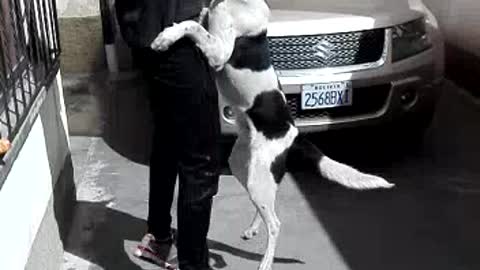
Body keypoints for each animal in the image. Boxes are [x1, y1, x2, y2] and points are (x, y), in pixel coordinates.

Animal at [150, 1, 394, 268]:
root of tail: (294, 135)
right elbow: (198, 22)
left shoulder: (220, 53)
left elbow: (190, 25)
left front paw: (165, 37)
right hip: (244, 167)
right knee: (264, 206)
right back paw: (254, 228)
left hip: (257, 177)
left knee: (275, 224)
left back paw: (266, 262)